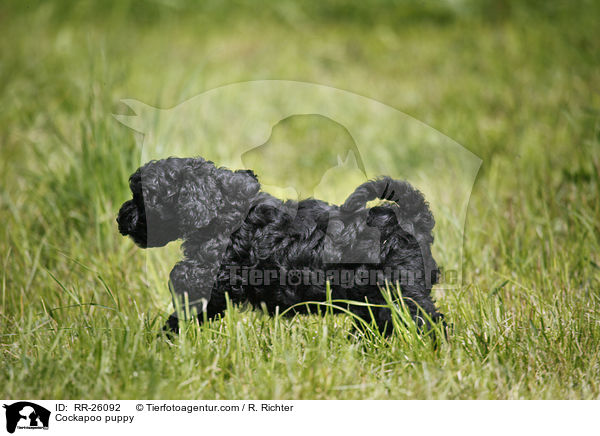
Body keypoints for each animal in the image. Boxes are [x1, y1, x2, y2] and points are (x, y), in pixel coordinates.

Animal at [118, 157, 446, 334]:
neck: (223, 207)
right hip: (376, 298)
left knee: (427, 321)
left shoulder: (213, 276)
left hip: (402, 292)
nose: (121, 217)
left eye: (142, 198)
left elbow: (186, 285)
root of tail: (412, 219)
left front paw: (167, 337)